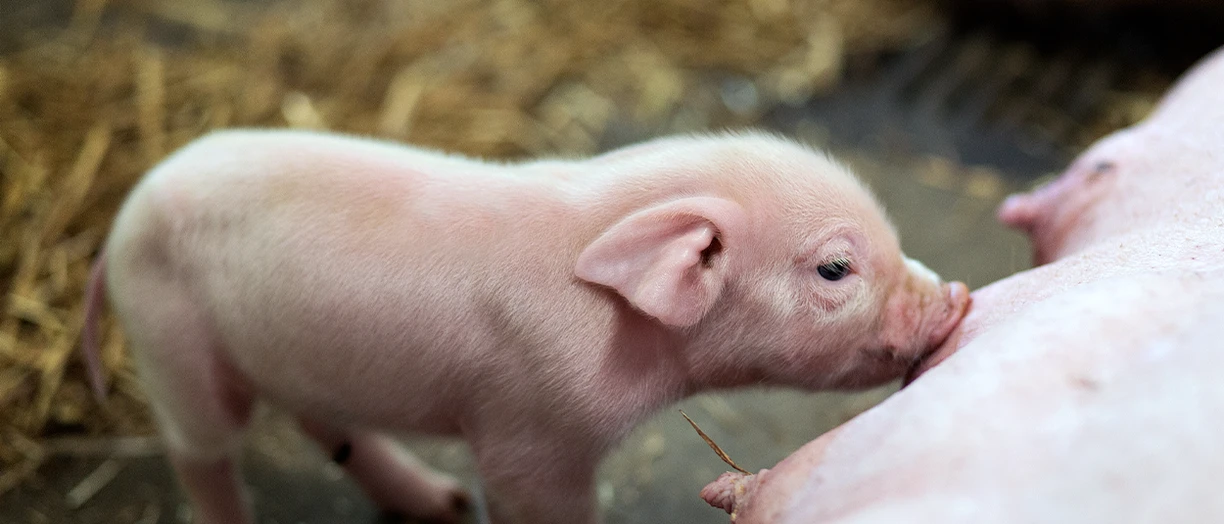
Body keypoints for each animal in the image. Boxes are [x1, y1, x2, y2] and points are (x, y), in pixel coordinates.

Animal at [79, 129, 969, 524]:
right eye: (835, 269)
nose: (957, 294)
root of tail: (125, 209)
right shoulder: (535, 432)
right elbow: (533, 500)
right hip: (171, 343)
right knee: (203, 452)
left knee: (321, 421)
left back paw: (441, 504)